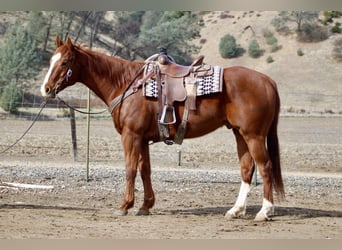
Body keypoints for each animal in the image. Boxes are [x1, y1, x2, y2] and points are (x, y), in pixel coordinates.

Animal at [41, 36, 284, 221]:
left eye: (65, 62)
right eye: (51, 60)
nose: (46, 89)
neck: (126, 84)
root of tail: (268, 81)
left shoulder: (131, 136)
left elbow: (130, 169)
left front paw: (124, 206)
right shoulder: (142, 139)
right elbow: (145, 170)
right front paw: (145, 206)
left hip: (254, 136)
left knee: (265, 167)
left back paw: (264, 211)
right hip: (240, 134)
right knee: (247, 169)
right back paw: (236, 210)